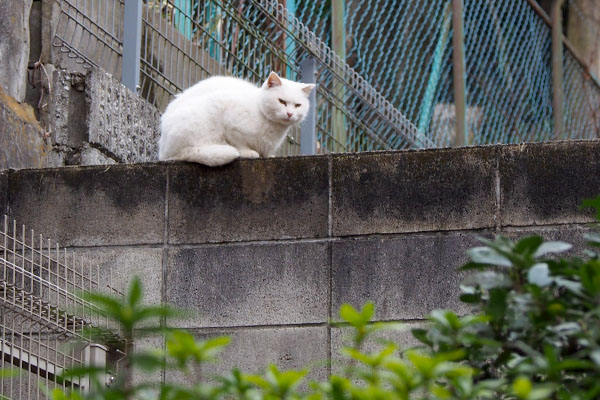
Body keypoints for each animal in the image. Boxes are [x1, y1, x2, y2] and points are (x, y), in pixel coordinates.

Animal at [157, 71, 316, 166]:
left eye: (297, 105)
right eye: (281, 101)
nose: (289, 114)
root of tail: (162, 151)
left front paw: (269, 156)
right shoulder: (228, 118)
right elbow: (239, 142)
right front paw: (248, 152)